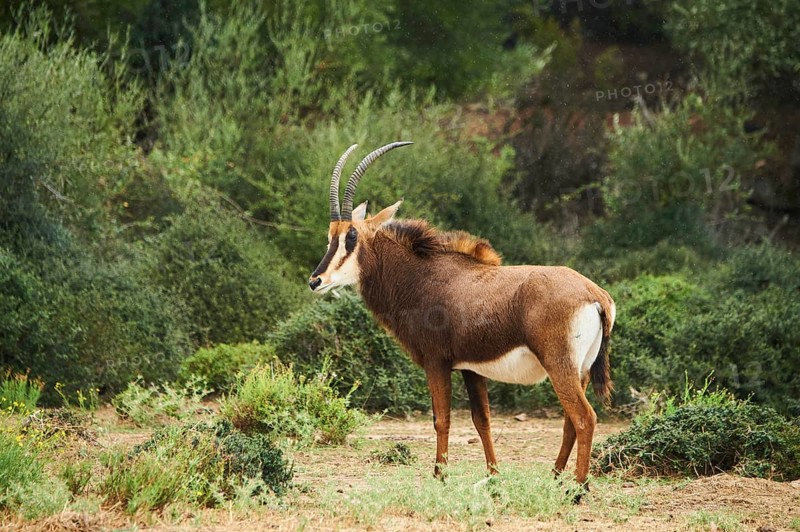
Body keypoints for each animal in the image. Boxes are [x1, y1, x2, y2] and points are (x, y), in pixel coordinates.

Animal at [309, 142, 616, 500]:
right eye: (330, 236)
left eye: (352, 236)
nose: (316, 281)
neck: (422, 277)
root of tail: (595, 295)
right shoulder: (471, 369)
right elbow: (482, 419)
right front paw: (494, 476)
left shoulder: (436, 363)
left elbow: (441, 419)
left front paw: (439, 477)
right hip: (581, 370)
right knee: (570, 421)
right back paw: (554, 478)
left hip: (559, 365)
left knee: (584, 417)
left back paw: (578, 489)